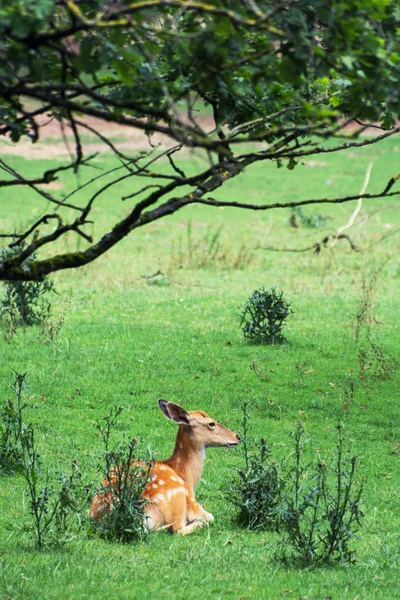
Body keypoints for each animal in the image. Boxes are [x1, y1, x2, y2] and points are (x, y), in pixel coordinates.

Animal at [92, 398, 239, 536]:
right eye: (211, 423)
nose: (237, 436)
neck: (187, 477)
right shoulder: (192, 503)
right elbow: (210, 516)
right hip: (176, 499)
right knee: (178, 529)